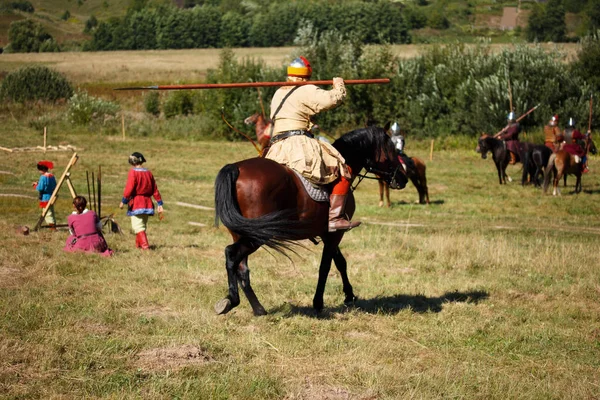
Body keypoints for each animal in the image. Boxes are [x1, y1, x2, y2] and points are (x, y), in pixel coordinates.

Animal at [212, 127, 408, 316]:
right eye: (391, 149)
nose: (403, 178)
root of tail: (235, 168)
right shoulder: (336, 233)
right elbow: (326, 266)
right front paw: (318, 303)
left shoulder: (328, 233)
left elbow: (340, 262)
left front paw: (349, 295)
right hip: (257, 235)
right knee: (232, 255)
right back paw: (232, 300)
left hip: (242, 233)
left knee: (242, 268)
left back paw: (258, 309)